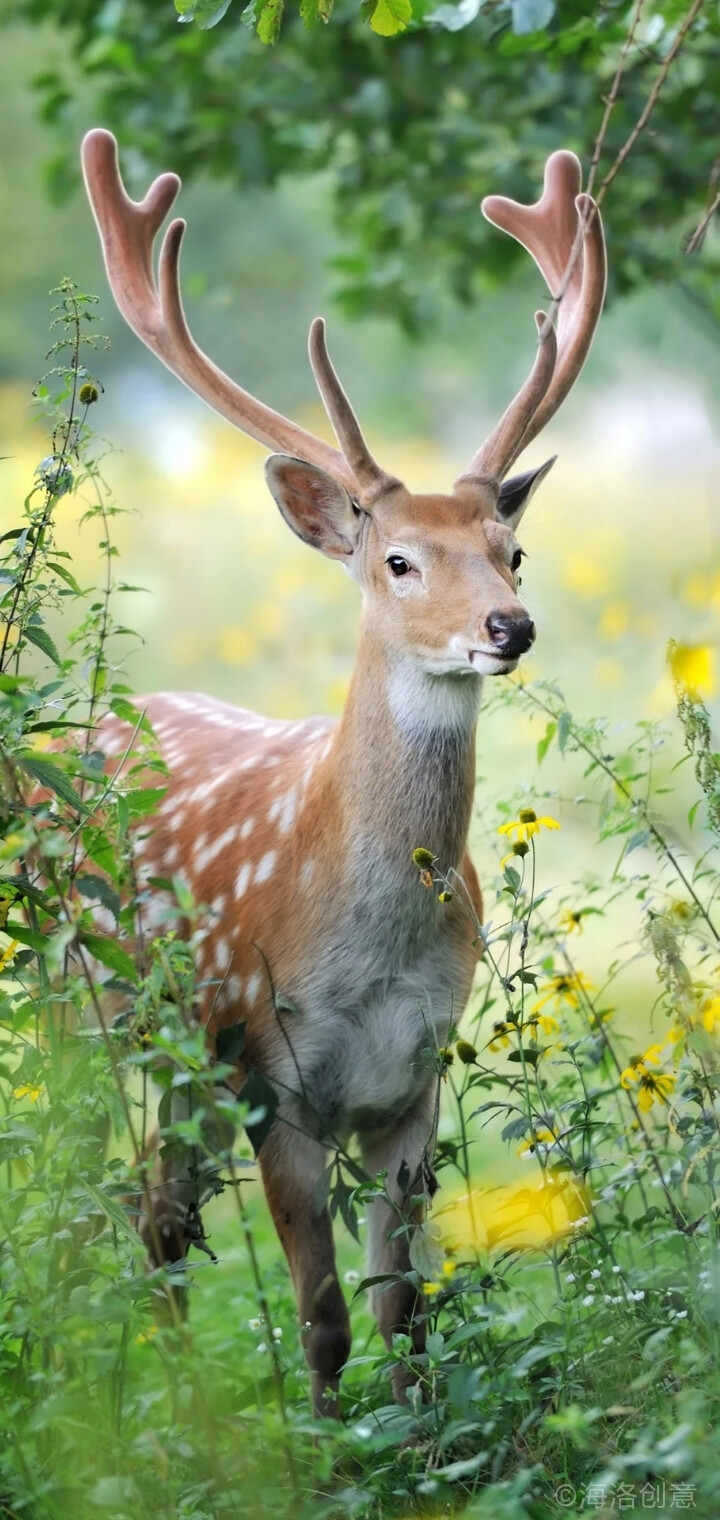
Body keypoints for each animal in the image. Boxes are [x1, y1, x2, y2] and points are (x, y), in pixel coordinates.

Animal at [81, 127, 604, 1410]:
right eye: (399, 559)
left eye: (513, 547)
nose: (511, 626)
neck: (364, 948)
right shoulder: (273, 1072)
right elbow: (321, 1314)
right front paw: (320, 1436)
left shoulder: (414, 1080)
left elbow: (402, 1308)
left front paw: (417, 1434)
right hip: (90, 1010)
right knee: (116, 1187)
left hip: (181, 1061)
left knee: (159, 1212)